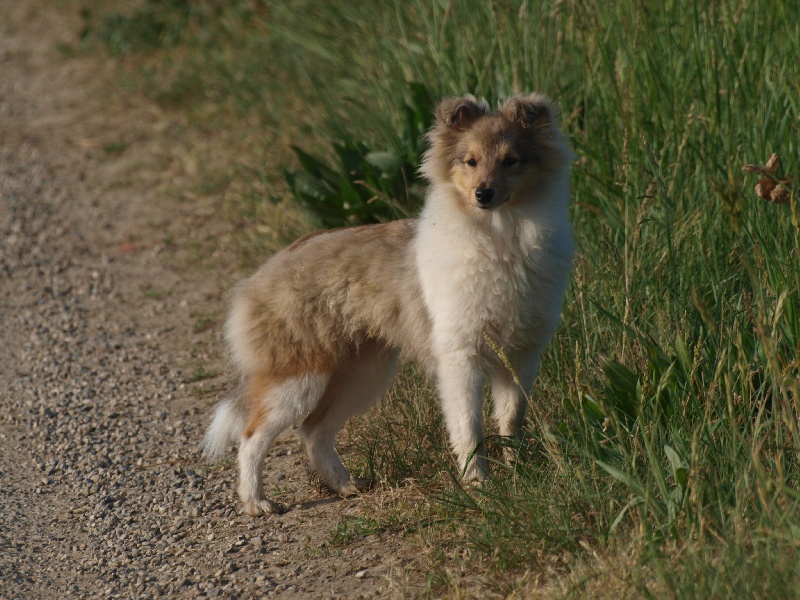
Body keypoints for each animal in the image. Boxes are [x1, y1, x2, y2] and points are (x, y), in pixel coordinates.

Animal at [202, 94, 576, 516]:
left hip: (362, 374)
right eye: (470, 161)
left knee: (314, 430)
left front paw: (517, 474)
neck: (498, 238)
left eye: (511, 160)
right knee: (252, 436)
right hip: (298, 377)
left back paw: (346, 485)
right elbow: (469, 425)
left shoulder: (521, 355)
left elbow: (511, 420)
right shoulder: (460, 359)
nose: (483, 194)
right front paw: (478, 484)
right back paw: (258, 502)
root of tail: (258, 277)